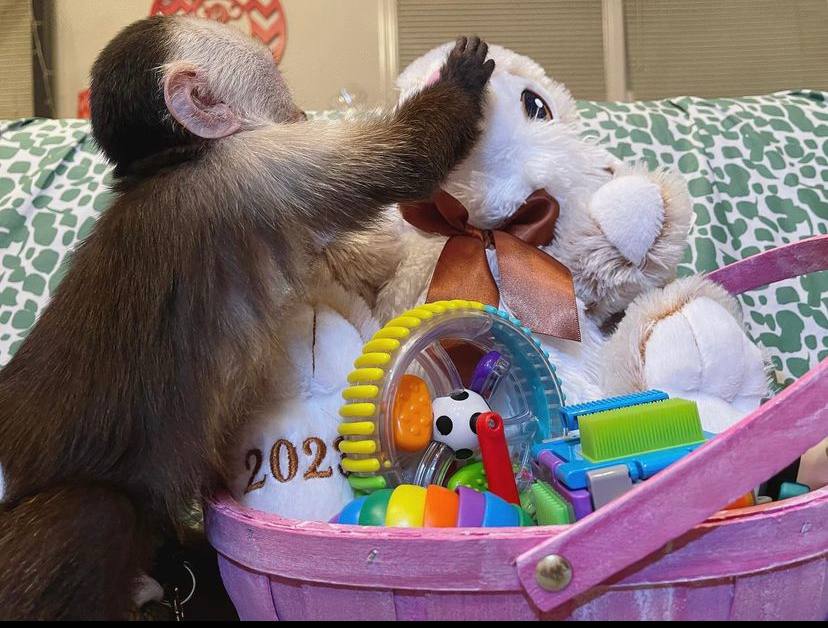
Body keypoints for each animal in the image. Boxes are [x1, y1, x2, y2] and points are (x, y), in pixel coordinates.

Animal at [0, 16, 494, 620]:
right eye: (275, 78)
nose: (302, 108)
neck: (177, 158)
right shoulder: (253, 168)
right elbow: (406, 157)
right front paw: (461, 77)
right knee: (92, 516)